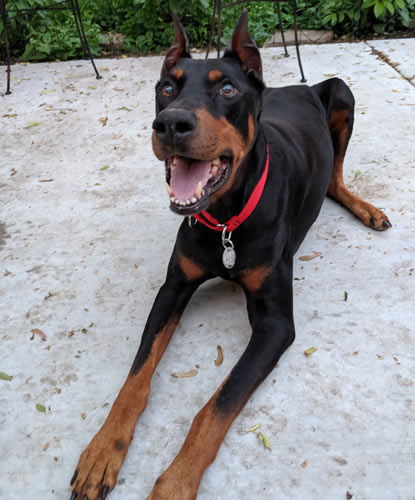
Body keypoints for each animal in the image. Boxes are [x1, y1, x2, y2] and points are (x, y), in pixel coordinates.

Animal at [70, 11, 391, 500]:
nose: (171, 125)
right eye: (167, 87)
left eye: (226, 90)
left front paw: (174, 483)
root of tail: (292, 87)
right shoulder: (173, 288)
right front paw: (102, 451)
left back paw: (366, 208)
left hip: (341, 93)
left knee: (336, 178)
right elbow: (135, 380)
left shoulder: (275, 325)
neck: (225, 221)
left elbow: (217, 406)